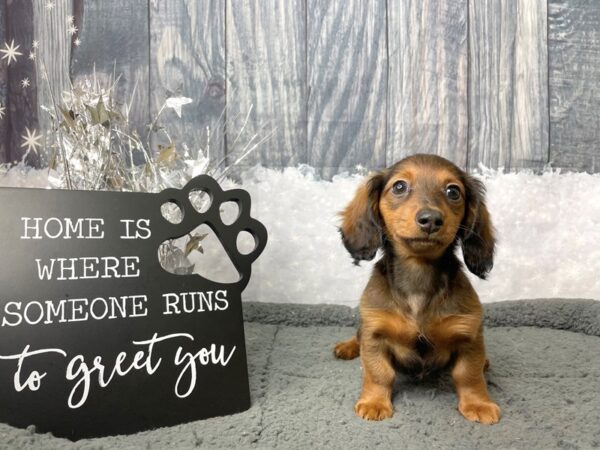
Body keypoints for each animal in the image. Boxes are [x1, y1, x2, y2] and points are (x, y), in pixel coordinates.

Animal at [336, 153, 500, 424]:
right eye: (399, 187)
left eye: (453, 191)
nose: (431, 219)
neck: (418, 275)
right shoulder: (374, 332)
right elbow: (379, 372)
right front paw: (374, 402)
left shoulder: (469, 334)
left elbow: (468, 374)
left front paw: (479, 404)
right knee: (357, 337)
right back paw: (347, 347)